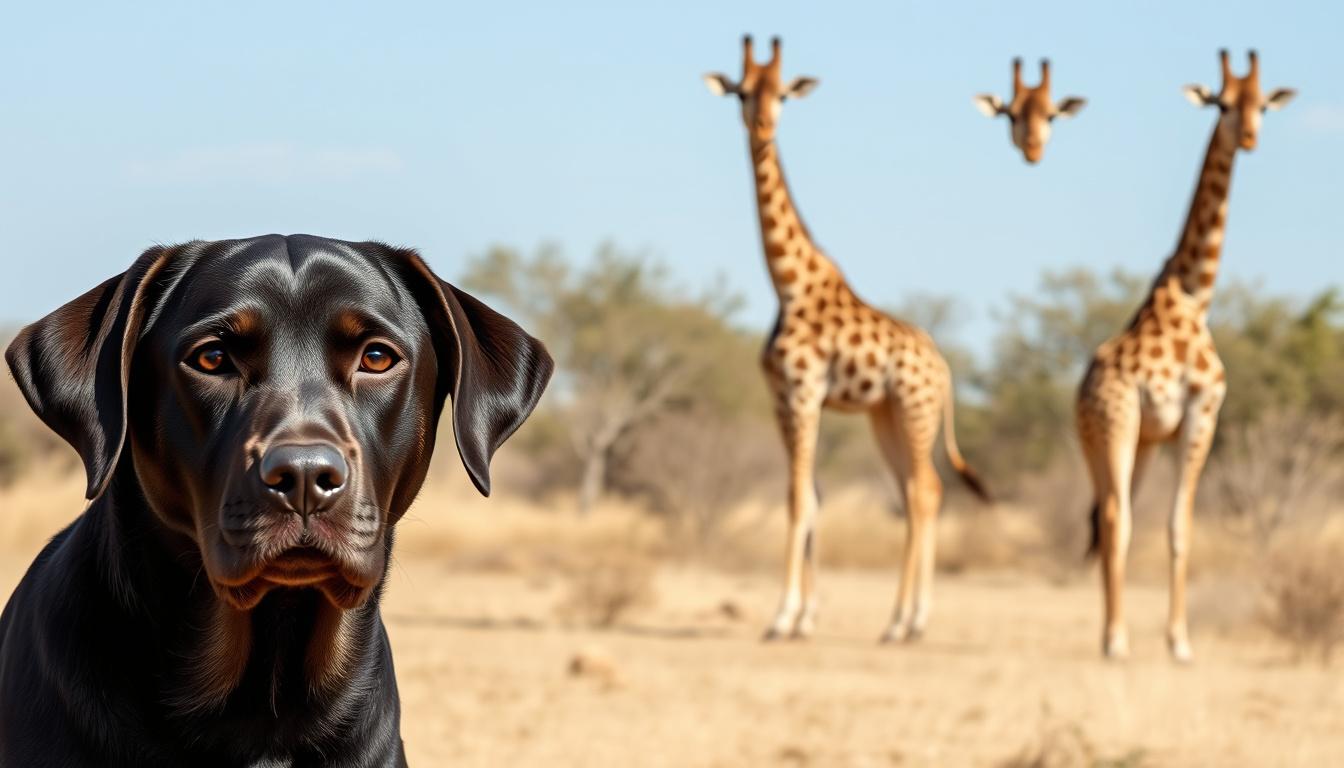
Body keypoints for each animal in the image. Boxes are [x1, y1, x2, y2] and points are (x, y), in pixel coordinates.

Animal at [704, 36, 990, 643]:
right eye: (741, 92)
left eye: (783, 94)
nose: (761, 127)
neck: (787, 282)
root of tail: (945, 370)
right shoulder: (781, 397)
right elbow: (811, 496)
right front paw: (804, 619)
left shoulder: (804, 391)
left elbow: (795, 498)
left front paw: (781, 617)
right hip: (885, 416)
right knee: (918, 492)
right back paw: (910, 620)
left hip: (914, 411)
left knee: (924, 491)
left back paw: (903, 623)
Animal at [1077, 49, 1295, 662]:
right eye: (1222, 103)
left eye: (1263, 103)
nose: (1249, 136)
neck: (1196, 292)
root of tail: (1081, 392)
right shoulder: (1198, 413)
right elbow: (1156, 525)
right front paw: (1145, 640)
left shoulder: (1193, 420)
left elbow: (1179, 527)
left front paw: (1178, 641)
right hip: (1117, 425)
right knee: (1115, 517)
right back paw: (1114, 638)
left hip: (1128, 444)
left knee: (1110, 516)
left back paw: (1112, 631)